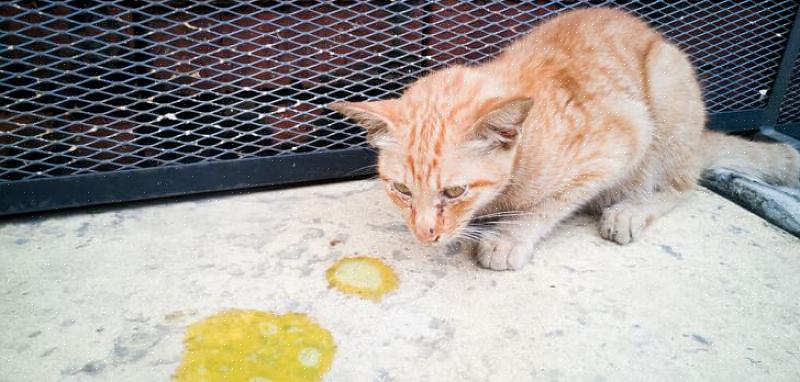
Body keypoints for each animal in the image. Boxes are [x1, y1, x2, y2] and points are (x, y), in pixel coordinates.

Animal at [328, 8, 796, 272]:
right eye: (402, 190)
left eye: (455, 191)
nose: (425, 233)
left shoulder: (623, 140)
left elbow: (547, 205)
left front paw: (509, 237)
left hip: (666, 93)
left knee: (683, 184)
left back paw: (631, 210)